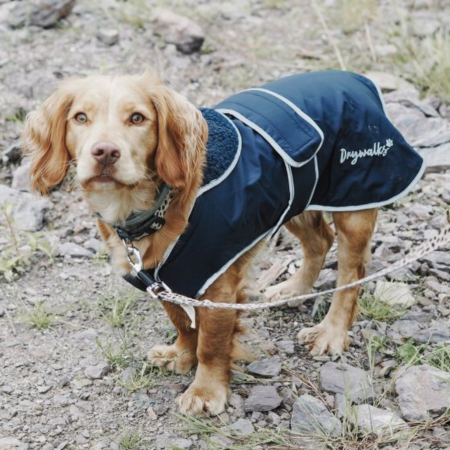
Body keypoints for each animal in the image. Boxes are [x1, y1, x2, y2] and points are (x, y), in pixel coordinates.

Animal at [23, 68, 426, 416]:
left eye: (137, 118)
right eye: (80, 118)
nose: (105, 152)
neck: (153, 206)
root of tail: (359, 79)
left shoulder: (218, 286)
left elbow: (212, 345)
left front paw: (206, 391)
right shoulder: (161, 278)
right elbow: (183, 324)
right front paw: (180, 354)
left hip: (355, 198)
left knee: (350, 274)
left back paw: (331, 332)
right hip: (296, 194)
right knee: (319, 241)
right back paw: (293, 288)